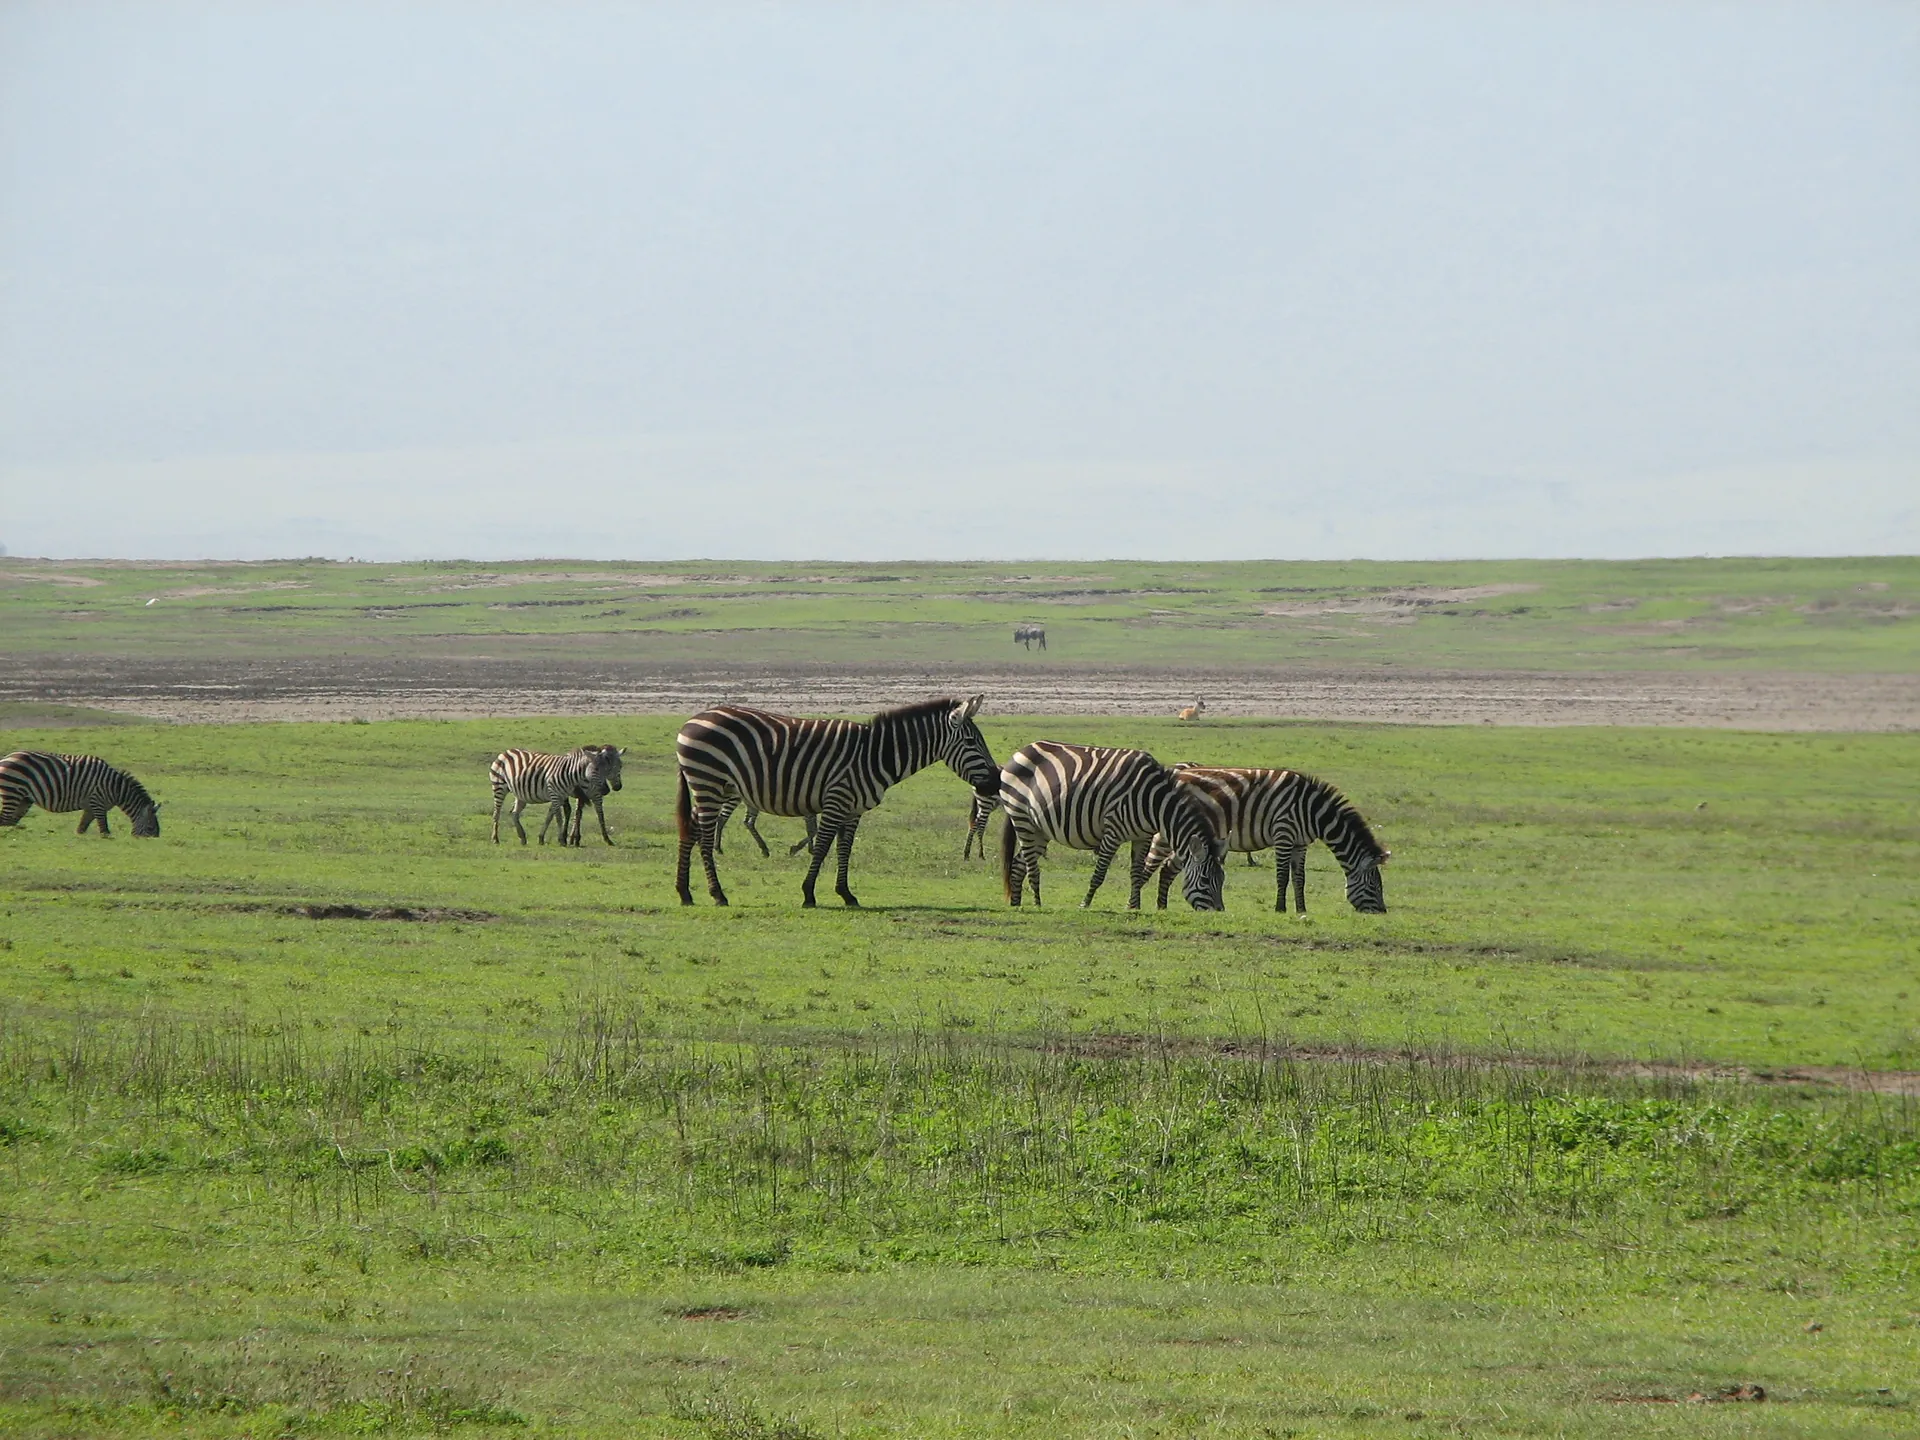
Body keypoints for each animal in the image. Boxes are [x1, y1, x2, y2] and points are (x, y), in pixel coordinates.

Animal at [0, 748, 161, 840]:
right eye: (151, 828)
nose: (156, 840)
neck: (115, 788)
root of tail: (6, 757)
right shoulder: (98, 803)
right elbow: (104, 830)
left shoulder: (91, 807)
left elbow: (82, 828)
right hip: (12, 792)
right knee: (5, 819)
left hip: (24, 798)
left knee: (10, 821)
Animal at [491, 744, 625, 844]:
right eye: (597, 769)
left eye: (619, 766)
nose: (610, 789)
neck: (572, 774)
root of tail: (507, 751)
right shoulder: (558, 795)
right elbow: (560, 816)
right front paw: (564, 839)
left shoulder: (567, 796)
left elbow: (560, 815)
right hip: (499, 786)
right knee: (496, 813)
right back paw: (495, 839)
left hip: (521, 794)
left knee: (514, 814)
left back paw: (522, 837)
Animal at [675, 695, 998, 906]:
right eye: (972, 742)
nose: (995, 781)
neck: (874, 755)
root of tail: (693, 719)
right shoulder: (836, 800)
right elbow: (821, 847)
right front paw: (808, 893)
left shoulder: (853, 809)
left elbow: (845, 849)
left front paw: (846, 894)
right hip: (709, 782)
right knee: (704, 836)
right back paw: (717, 894)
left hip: (710, 786)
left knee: (690, 830)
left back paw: (684, 893)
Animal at [998, 744, 1221, 913]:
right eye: (1204, 880)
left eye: (1222, 879)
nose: (1218, 912)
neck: (1153, 802)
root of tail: (1022, 750)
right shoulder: (1113, 831)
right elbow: (1099, 874)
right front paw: (1085, 904)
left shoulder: (1143, 837)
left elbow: (1137, 873)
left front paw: (1134, 907)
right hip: (1021, 817)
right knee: (1031, 866)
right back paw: (1037, 903)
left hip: (1038, 828)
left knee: (1018, 865)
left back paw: (1016, 905)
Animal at [1144, 768, 1390, 913]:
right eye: (1373, 886)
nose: (1382, 912)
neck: (1312, 811)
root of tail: (1177, 773)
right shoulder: (1284, 834)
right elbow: (1282, 877)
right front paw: (1280, 908)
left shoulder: (1300, 843)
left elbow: (1299, 878)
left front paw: (1301, 910)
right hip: (1171, 833)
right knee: (1152, 865)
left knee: (1167, 868)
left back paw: (1161, 907)